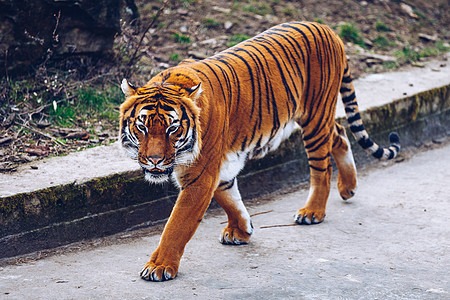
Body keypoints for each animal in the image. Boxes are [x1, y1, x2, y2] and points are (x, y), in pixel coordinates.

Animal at [118, 21, 400, 282]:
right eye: (142, 127)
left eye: (172, 128)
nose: (154, 160)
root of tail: (328, 28)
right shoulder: (219, 168)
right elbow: (230, 199)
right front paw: (242, 230)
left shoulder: (200, 176)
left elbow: (177, 224)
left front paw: (159, 266)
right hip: (319, 120)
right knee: (340, 134)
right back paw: (348, 188)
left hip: (315, 117)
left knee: (322, 166)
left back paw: (313, 212)